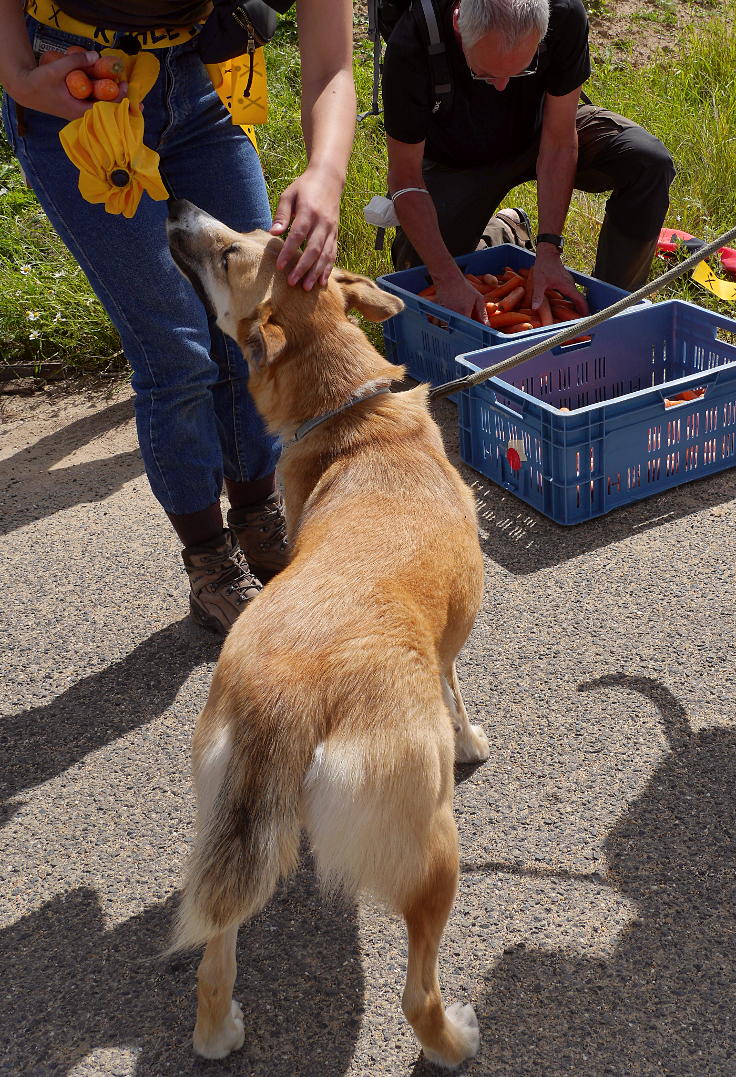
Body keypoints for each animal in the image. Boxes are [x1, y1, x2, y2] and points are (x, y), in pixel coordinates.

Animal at [165, 200, 489, 1068]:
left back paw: (217, 1033)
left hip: (224, 827)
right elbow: (455, 688)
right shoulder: (450, 644)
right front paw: (470, 737)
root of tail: (285, 692)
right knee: (418, 993)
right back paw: (453, 1041)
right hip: (433, 851)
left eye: (242, 242)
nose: (177, 208)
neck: (355, 416)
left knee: (213, 960)